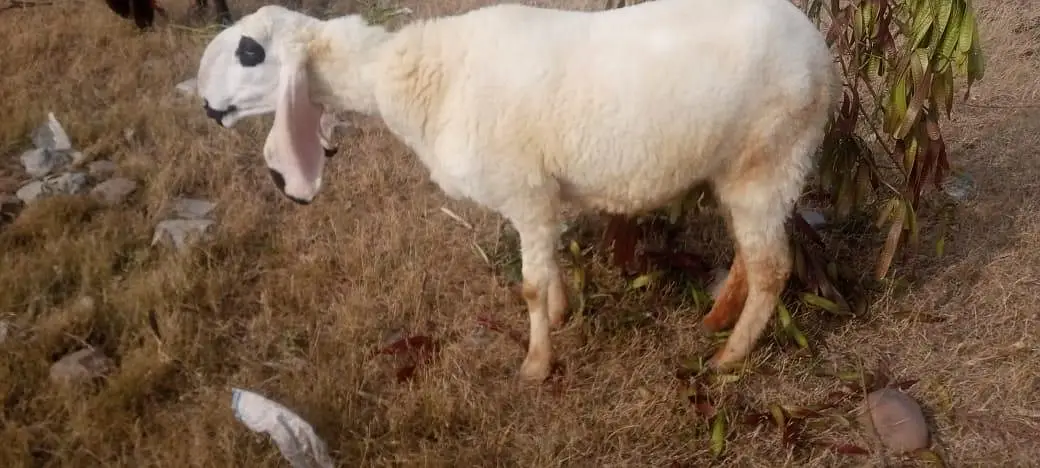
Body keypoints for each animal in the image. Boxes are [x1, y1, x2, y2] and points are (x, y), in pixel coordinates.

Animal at [194, 0, 840, 382]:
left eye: (250, 52)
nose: (206, 108)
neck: (420, 76)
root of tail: (822, 52)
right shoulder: (538, 196)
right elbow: (547, 271)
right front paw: (558, 316)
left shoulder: (524, 189)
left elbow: (529, 283)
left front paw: (535, 363)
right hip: (742, 169)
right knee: (749, 254)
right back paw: (714, 321)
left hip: (773, 156)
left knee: (772, 266)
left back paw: (728, 357)